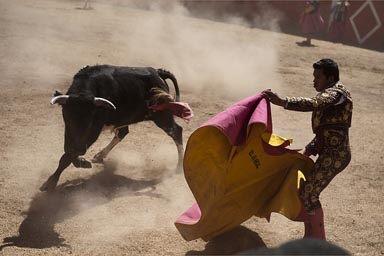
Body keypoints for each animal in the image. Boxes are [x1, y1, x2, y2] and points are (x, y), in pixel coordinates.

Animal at [41, 65, 185, 191]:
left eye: (90, 120)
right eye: (70, 118)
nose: (80, 149)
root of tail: (158, 72)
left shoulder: (94, 130)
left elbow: (68, 155)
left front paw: (51, 182)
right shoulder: (69, 132)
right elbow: (68, 153)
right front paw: (80, 162)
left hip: (162, 116)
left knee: (176, 131)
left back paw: (179, 167)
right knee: (123, 132)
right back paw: (100, 155)